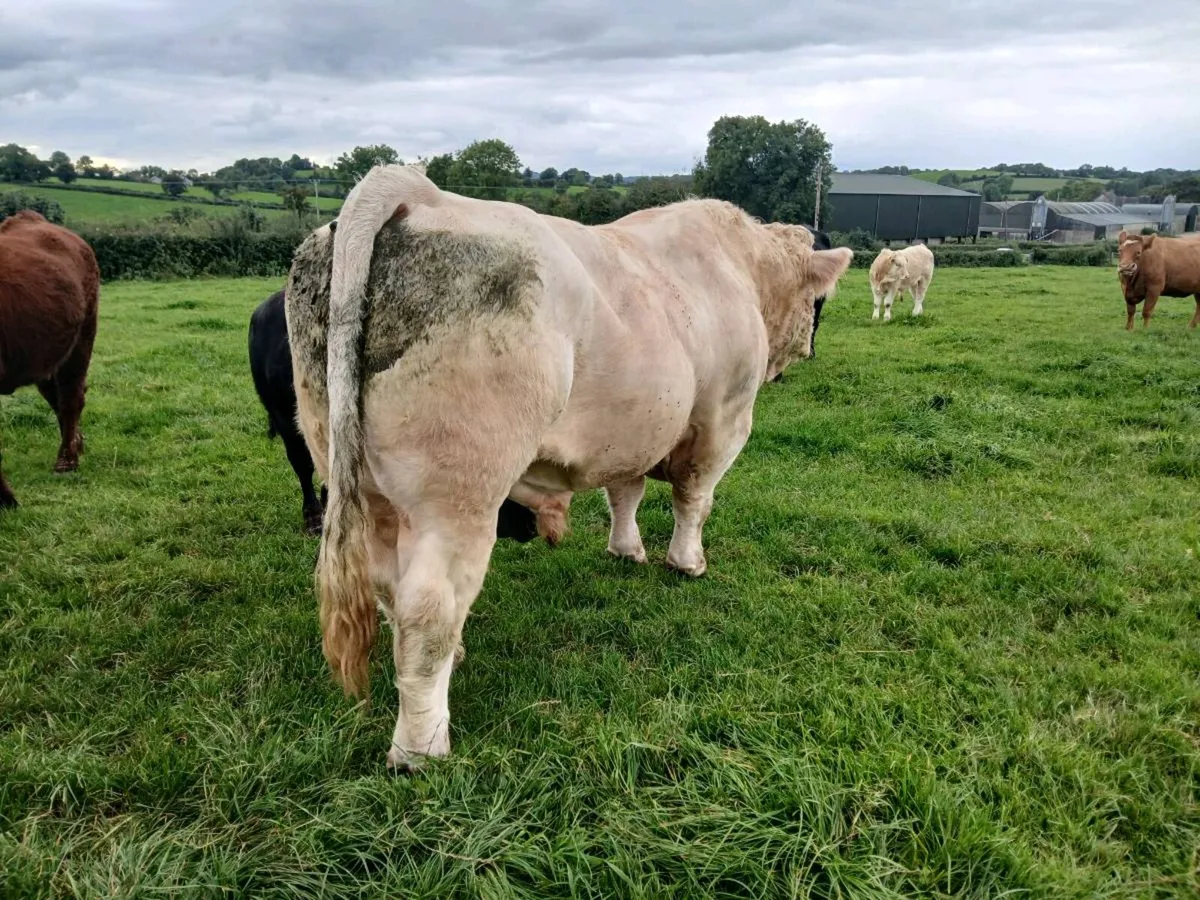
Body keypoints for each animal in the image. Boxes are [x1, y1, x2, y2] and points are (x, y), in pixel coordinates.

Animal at [0, 210, 100, 510]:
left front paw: (7, 500)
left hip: (82, 338)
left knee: (70, 399)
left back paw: (67, 461)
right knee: (58, 399)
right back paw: (77, 444)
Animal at [284, 163, 853, 768]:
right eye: (816, 302)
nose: (809, 347)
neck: (738, 268)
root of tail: (422, 196)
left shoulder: (631, 430)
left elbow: (625, 492)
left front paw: (626, 550)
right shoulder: (723, 420)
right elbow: (694, 500)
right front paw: (687, 562)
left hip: (361, 482)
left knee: (390, 587)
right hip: (457, 494)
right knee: (428, 606)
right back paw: (421, 747)